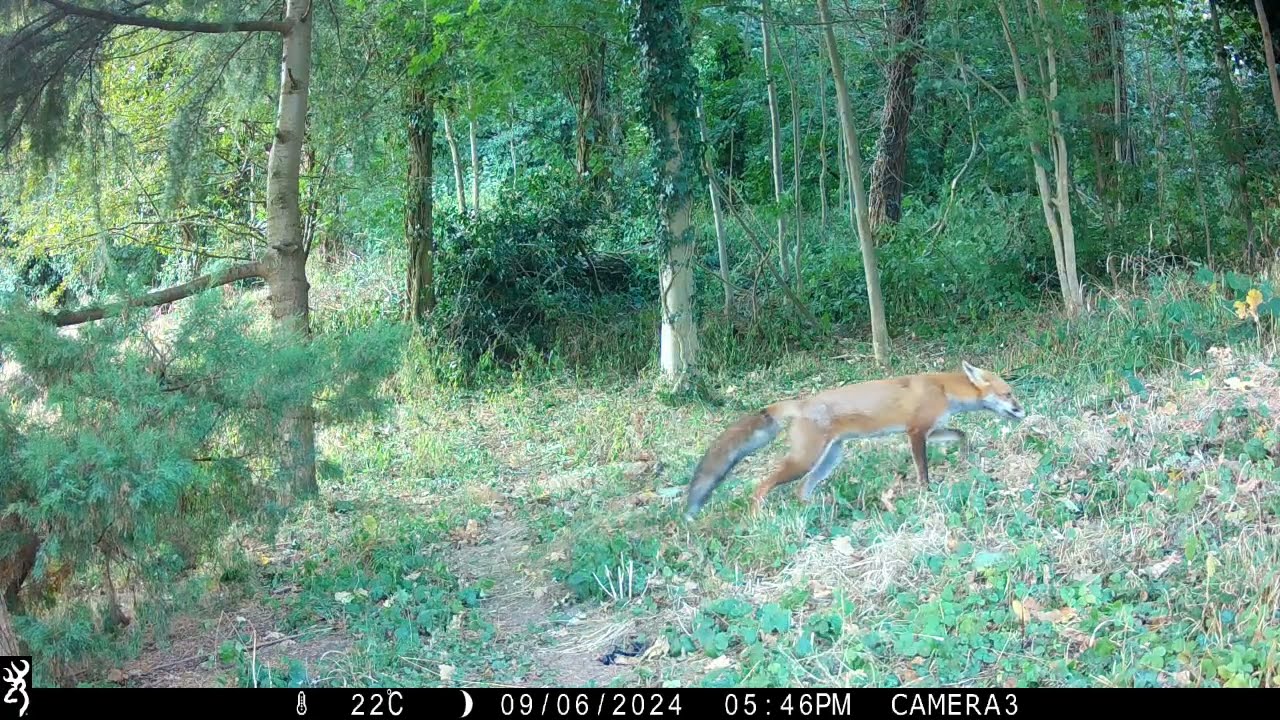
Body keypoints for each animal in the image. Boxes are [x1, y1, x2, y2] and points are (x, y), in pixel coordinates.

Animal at [683, 361, 1025, 520]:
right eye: (1008, 394)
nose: (1023, 411)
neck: (943, 390)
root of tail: (802, 402)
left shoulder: (932, 429)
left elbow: (962, 435)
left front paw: (967, 456)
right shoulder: (915, 432)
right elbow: (923, 470)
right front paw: (927, 494)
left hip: (830, 458)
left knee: (800, 490)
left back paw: (820, 511)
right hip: (805, 459)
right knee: (762, 486)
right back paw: (758, 517)